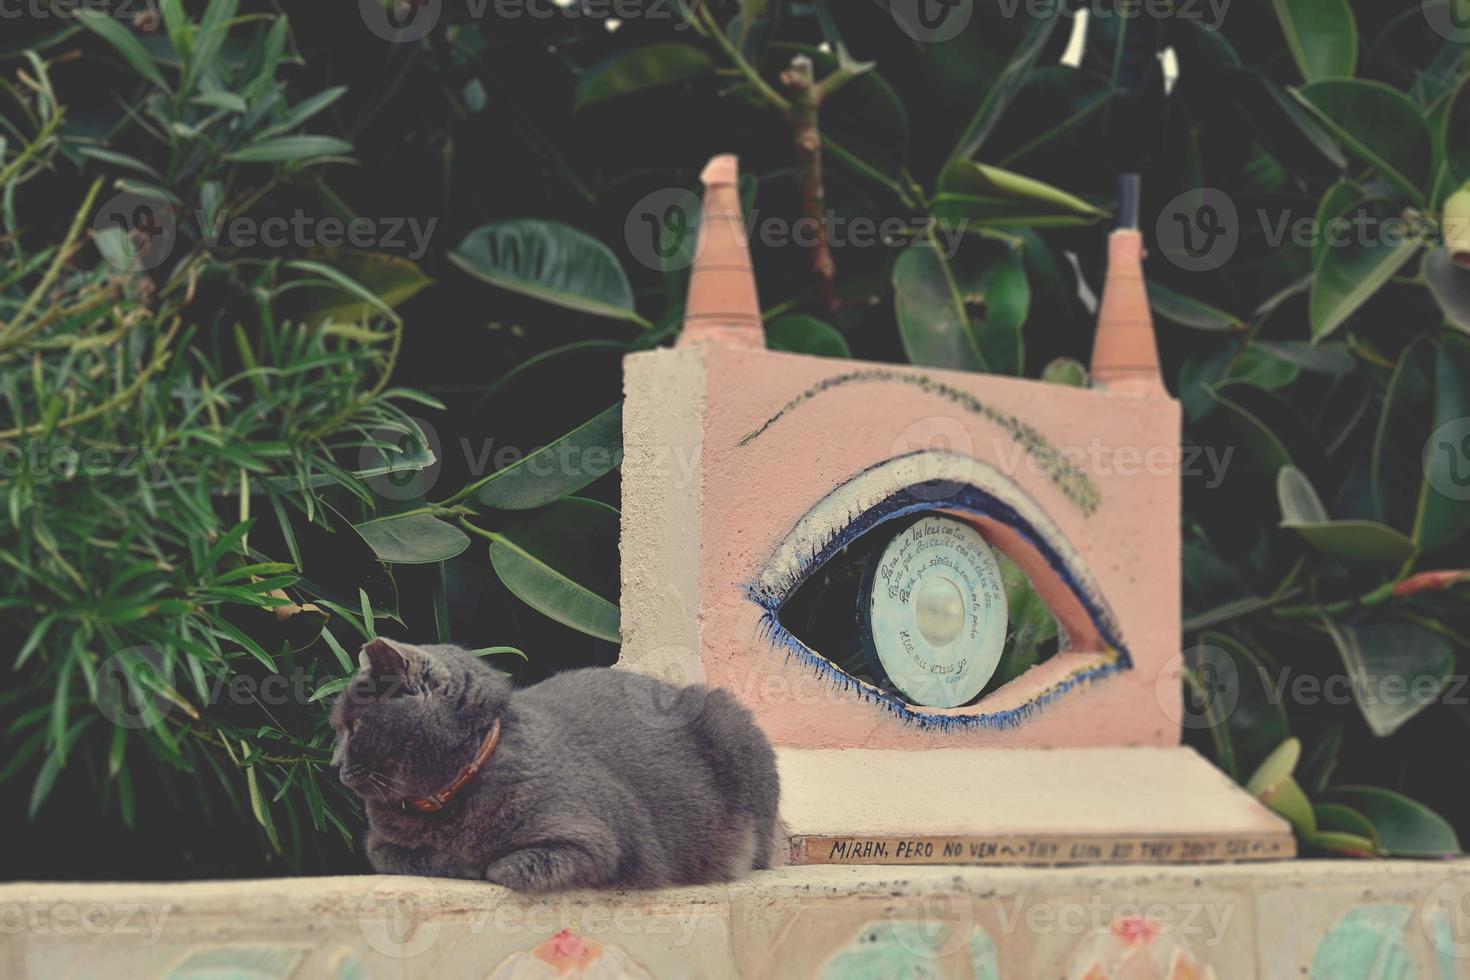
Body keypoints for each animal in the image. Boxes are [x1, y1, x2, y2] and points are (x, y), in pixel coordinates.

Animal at [329, 640, 787, 893]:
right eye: (341, 727)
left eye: (354, 726)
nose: (333, 764)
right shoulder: (377, 844)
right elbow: (393, 854)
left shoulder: (599, 840)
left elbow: (505, 865)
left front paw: (475, 863)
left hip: (731, 723)